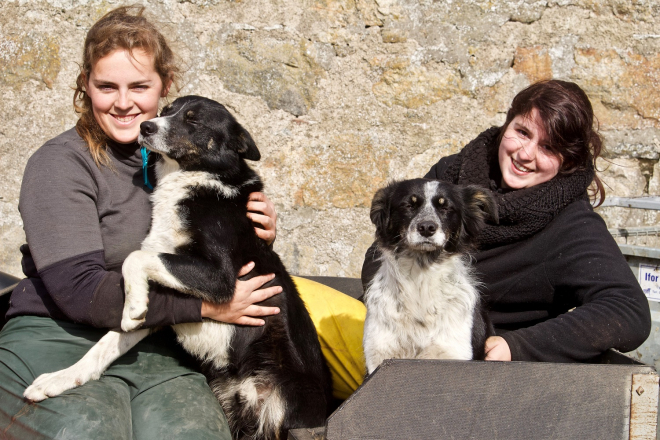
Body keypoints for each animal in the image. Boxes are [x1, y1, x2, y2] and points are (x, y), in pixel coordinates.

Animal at [23, 96, 332, 440]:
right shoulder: (165, 292)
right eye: (165, 111)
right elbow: (106, 344)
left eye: (193, 121)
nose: (145, 126)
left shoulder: (221, 277)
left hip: (289, 412)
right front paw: (62, 378)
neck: (193, 177)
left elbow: (136, 257)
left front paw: (131, 308)